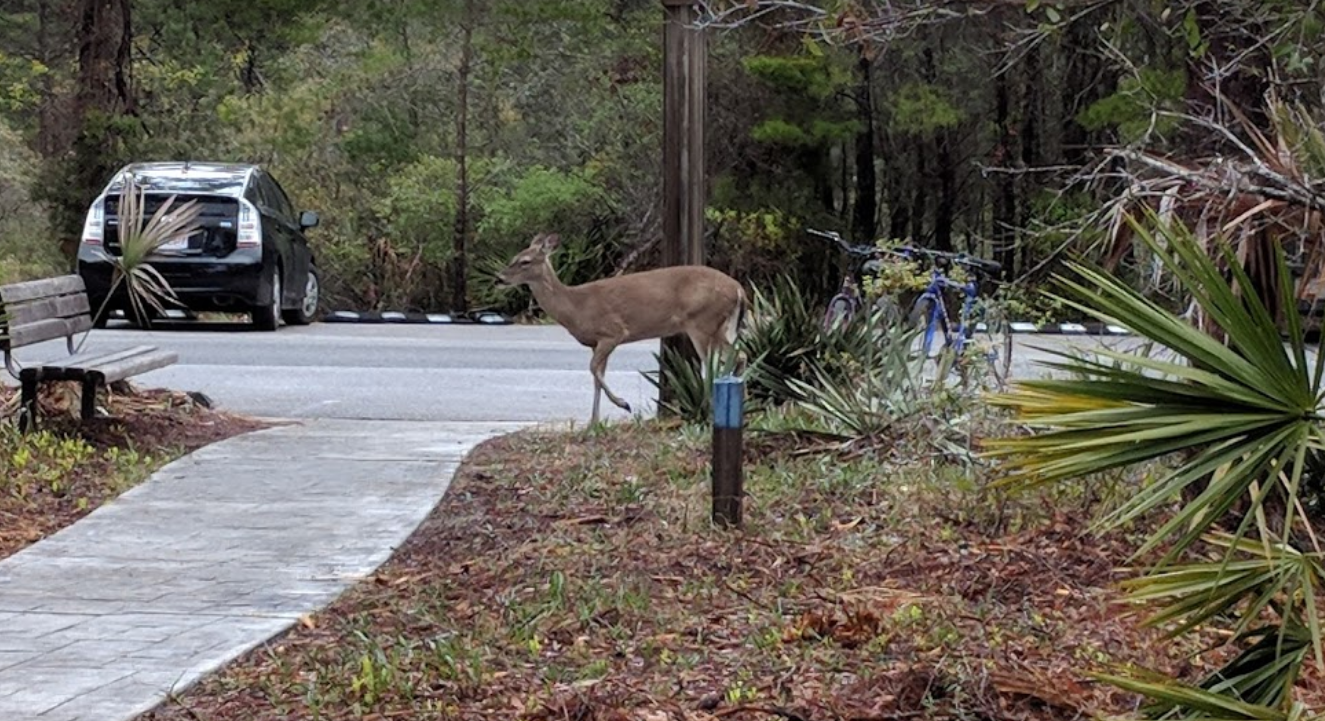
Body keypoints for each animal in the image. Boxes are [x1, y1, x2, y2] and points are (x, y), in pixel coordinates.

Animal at [498, 230, 747, 424]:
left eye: (525, 261)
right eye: (514, 257)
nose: (500, 278)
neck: (576, 307)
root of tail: (739, 289)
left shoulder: (613, 332)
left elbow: (593, 369)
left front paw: (623, 404)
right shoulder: (596, 342)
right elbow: (596, 376)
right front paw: (594, 423)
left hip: (703, 322)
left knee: (717, 361)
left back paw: (713, 405)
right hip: (722, 327)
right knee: (739, 355)